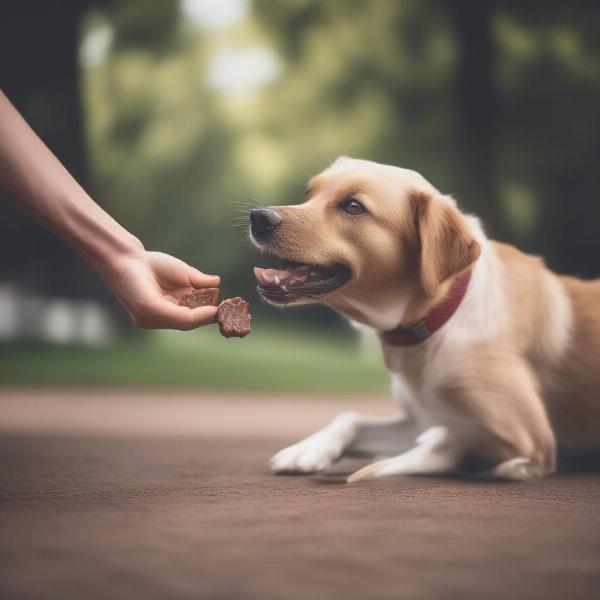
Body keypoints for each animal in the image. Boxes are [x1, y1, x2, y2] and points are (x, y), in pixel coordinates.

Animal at [248, 157, 600, 480]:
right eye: (309, 194)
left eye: (353, 206)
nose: (258, 217)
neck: (437, 318)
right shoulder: (419, 418)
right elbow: (351, 418)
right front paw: (307, 449)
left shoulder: (533, 437)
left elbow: (450, 440)